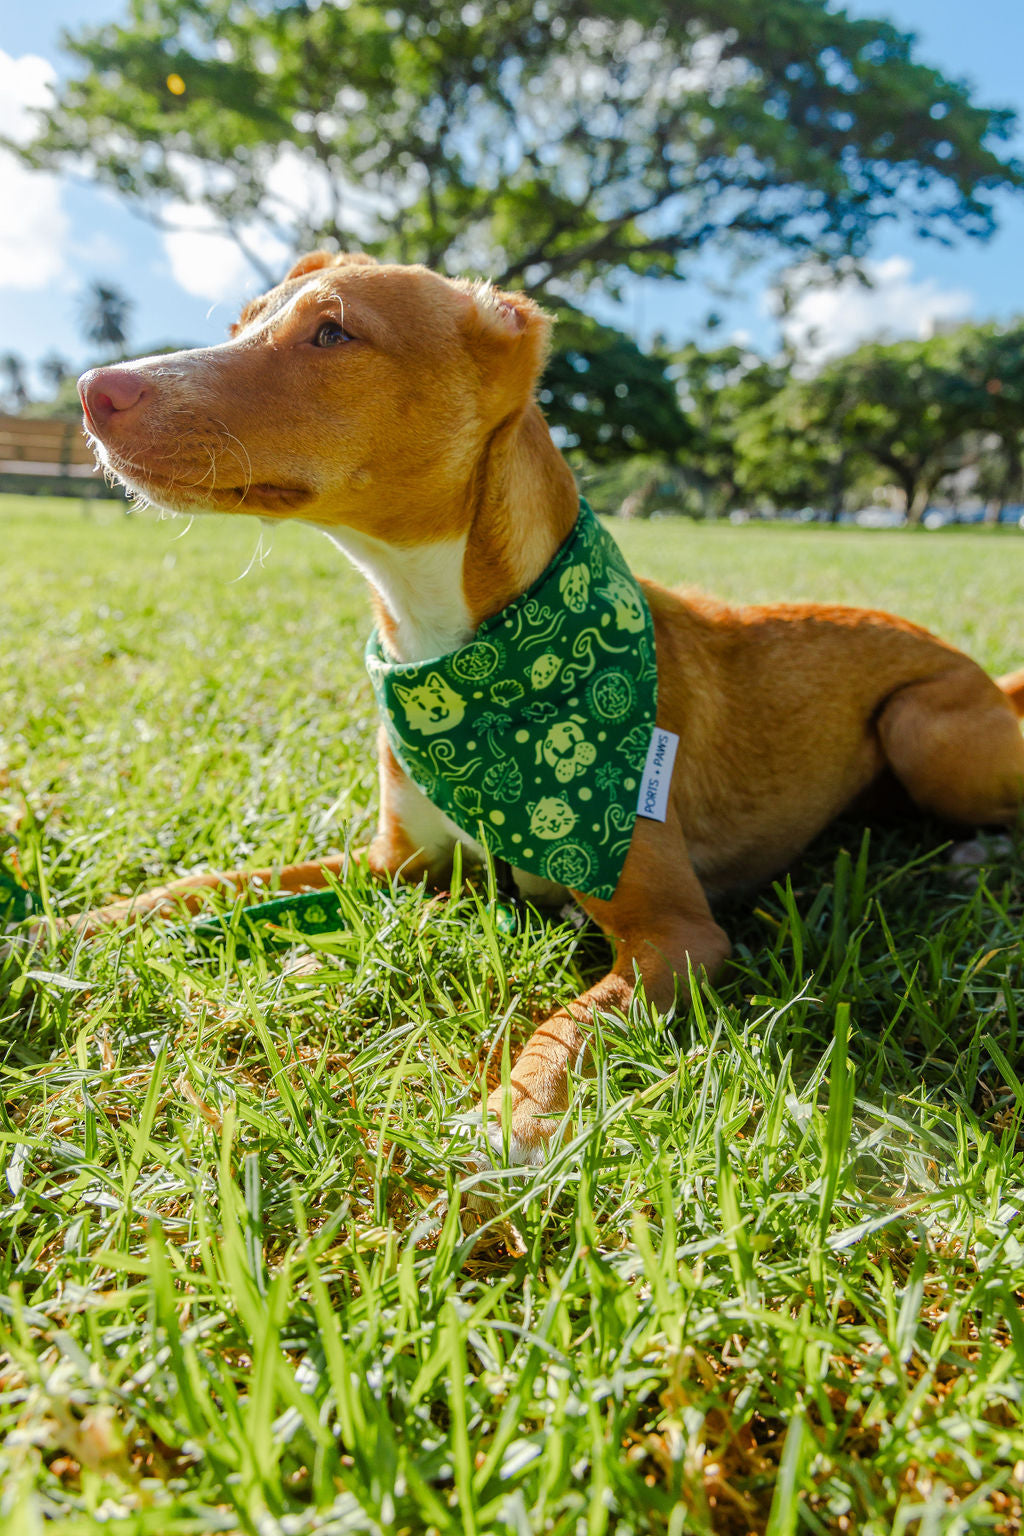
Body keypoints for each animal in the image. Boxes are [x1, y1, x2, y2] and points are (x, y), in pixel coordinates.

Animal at [74, 251, 1024, 1161]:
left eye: (333, 334)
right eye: (239, 325)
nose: (93, 390)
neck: (444, 652)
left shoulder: (680, 934)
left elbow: (572, 1018)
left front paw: (514, 1115)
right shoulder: (392, 865)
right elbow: (211, 884)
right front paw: (87, 923)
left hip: (921, 727)